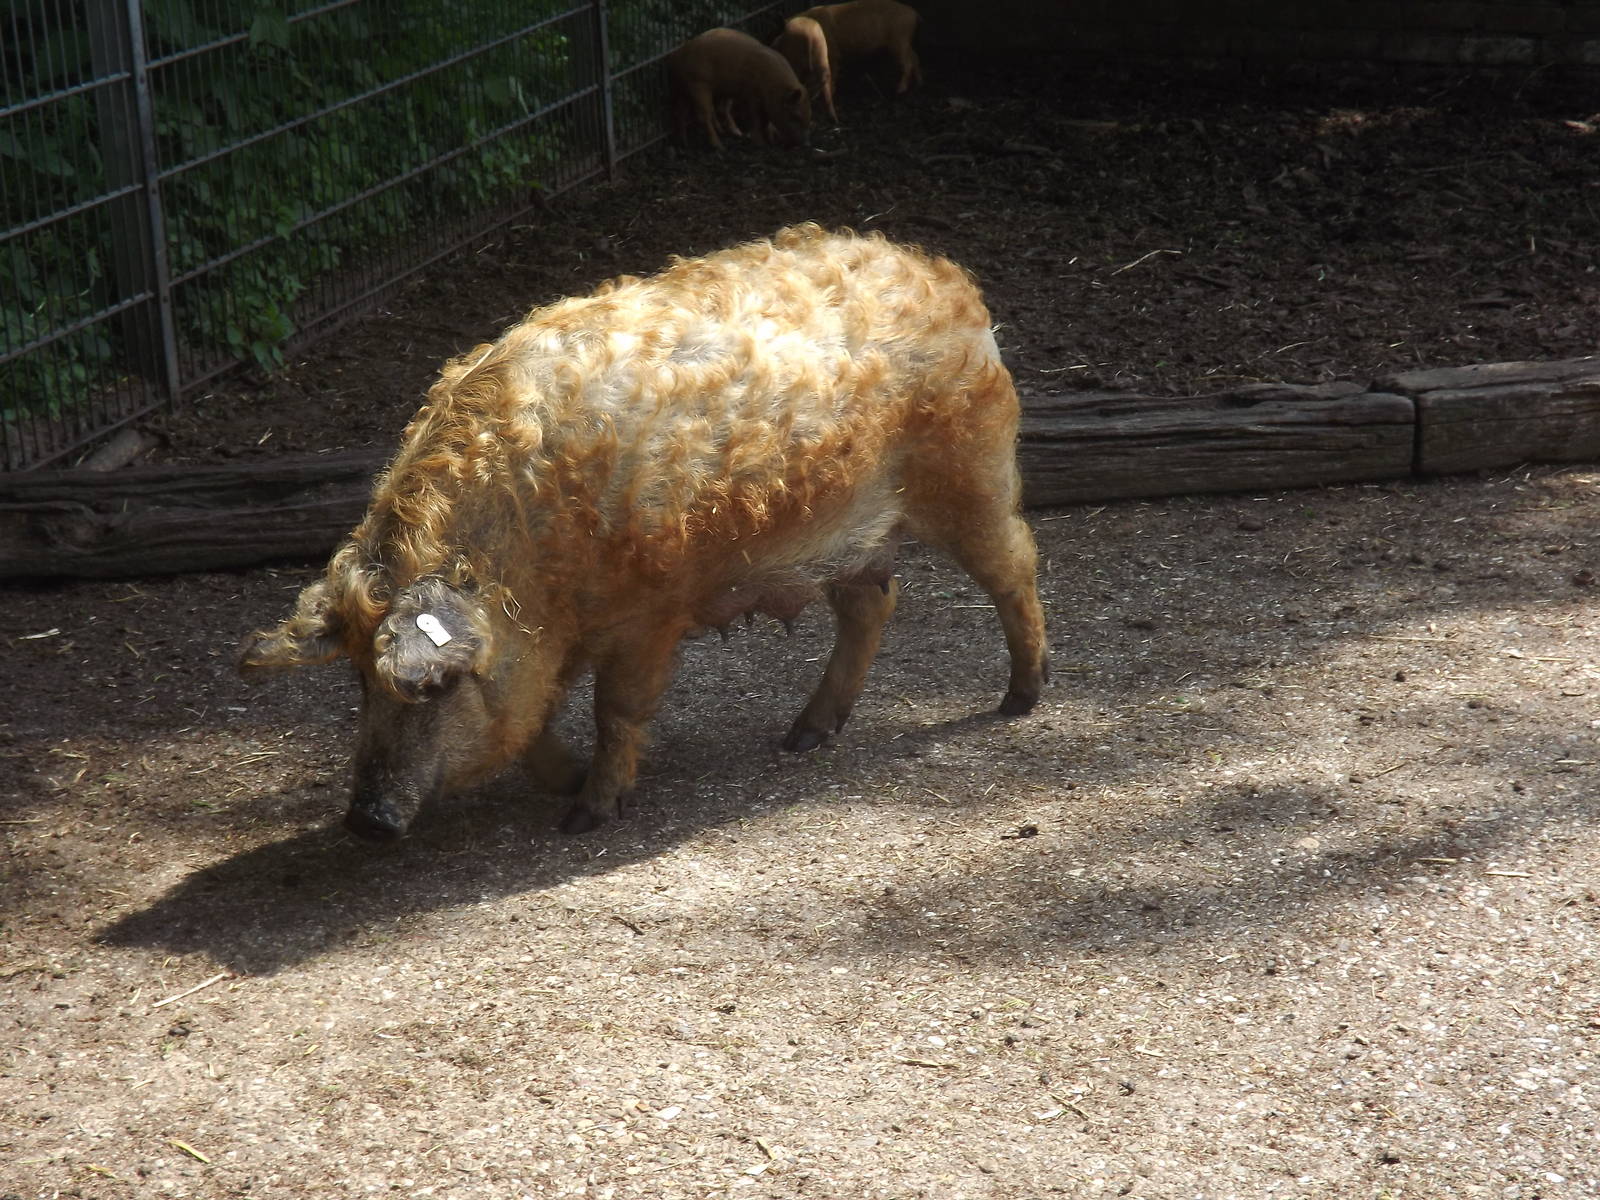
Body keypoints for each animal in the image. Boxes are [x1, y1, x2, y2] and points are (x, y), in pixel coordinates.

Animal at [239, 223, 1049, 841]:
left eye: (433, 685)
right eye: (357, 680)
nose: (365, 822)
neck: (530, 570)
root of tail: (945, 278)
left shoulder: (653, 611)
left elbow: (617, 708)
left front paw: (587, 817)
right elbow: (536, 724)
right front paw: (566, 786)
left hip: (971, 473)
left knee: (1015, 565)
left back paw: (1020, 699)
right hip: (852, 535)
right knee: (874, 605)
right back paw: (802, 737)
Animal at [666, 28, 811, 151]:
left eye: (808, 115)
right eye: (795, 116)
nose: (804, 143)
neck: (771, 86)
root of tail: (676, 56)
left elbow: (767, 119)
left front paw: (772, 138)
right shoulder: (752, 95)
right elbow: (755, 118)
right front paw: (761, 145)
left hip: (688, 90)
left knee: (688, 112)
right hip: (697, 85)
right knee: (702, 115)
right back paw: (720, 147)